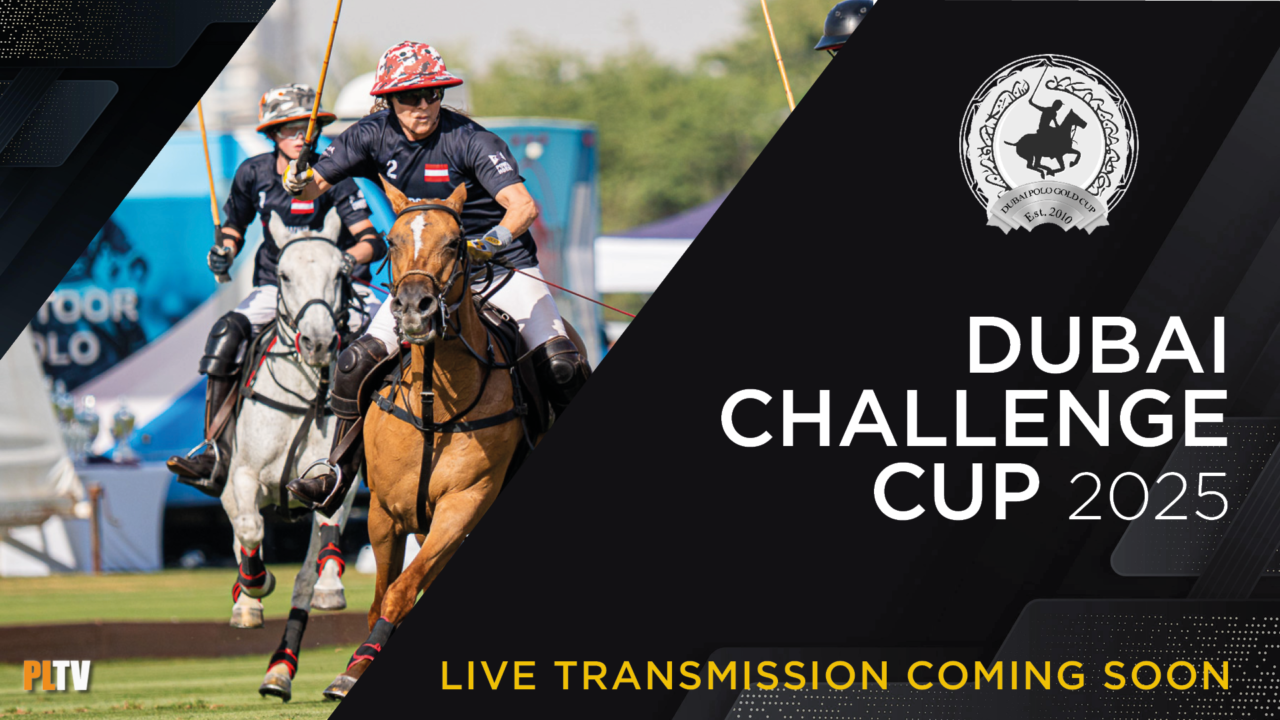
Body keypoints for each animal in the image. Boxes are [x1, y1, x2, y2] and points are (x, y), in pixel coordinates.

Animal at [219, 209, 369, 702]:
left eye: (341, 272)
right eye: (283, 274)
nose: (318, 342)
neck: (306, 395)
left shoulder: (338, 477)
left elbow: (326, 538)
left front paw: (330, 586)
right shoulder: (244, 475)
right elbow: (249, 529)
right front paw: (256, 585)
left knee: (303, 577)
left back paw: (279, 672)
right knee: (241, 529)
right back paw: (247, 601)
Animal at [318, 180, 587, 700]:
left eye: (454, 242)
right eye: (392, 241)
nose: (413, 307)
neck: (433, 405)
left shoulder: (464, 502)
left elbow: (400, 593)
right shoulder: (386, 512)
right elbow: (382, 596)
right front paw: (354, 669)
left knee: (561, 363)